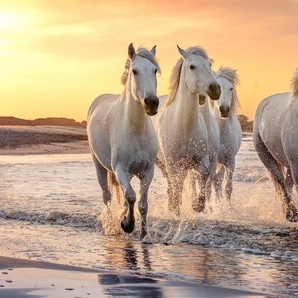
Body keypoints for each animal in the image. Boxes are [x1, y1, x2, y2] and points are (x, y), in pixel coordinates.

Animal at [86, 43, 161, 239]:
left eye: (155, 70)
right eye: (134, 71)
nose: (152, 103)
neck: (136, 131)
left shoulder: (147, 171)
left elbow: (142, 203)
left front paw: (144, 235)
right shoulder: (120, 169)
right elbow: (132, 197)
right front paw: (127, 224)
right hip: (99, 165)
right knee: (107, 196)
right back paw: (112, 225)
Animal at [152, 44, 220, 214]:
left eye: (209, 65)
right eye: (192, 66)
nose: (215, 89)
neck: (185, 127)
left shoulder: (201, 160)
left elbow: (203, 176)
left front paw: (197, 205)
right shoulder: (173, 164)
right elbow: (177, 187)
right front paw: (176, 209)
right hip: (162, 163)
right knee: (172, 184)